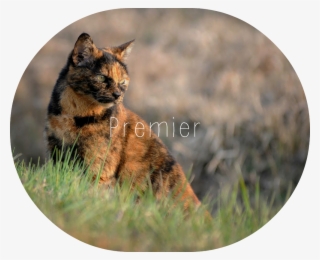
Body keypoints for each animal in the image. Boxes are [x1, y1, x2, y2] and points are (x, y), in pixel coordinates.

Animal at [44, 33, 201, 211]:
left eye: (123, 81)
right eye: (101, 77)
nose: (118, 94)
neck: (74, 115)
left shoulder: (98, 166)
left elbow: (91, 192)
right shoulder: (56, 150)